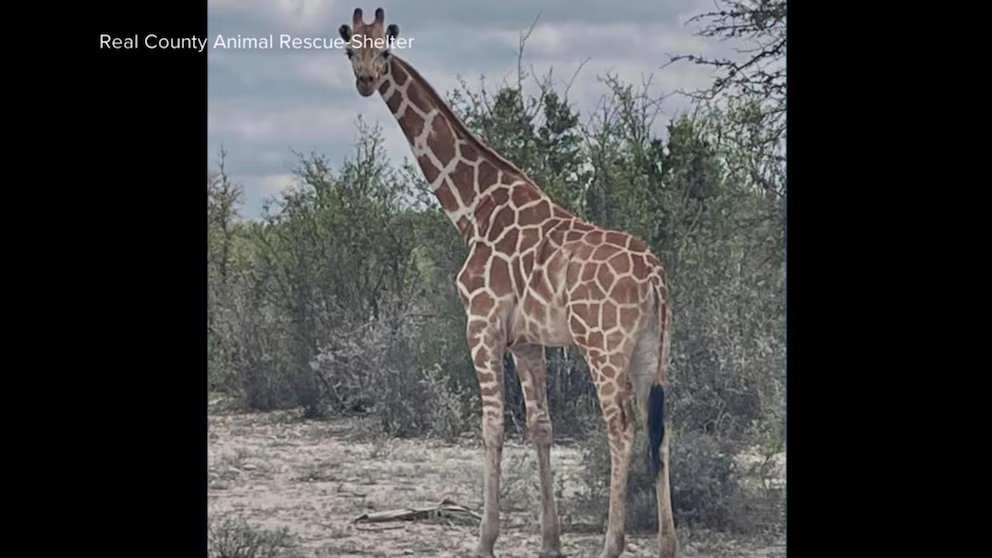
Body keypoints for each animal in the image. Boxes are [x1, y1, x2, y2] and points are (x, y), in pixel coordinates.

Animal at [338, 8, 677, 558]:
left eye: (384, 52)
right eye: (351, 51)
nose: (366, 81)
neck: (473, 210)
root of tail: (655, 276)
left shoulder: (481, 324)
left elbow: (492, 427)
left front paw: (485, 539)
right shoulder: (527, 341)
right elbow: (541, 427)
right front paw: (549, 542)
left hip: (603, 346)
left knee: (621, 428)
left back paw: (612, 543)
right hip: (653, 349)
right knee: (658, 428)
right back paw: (667, 544)